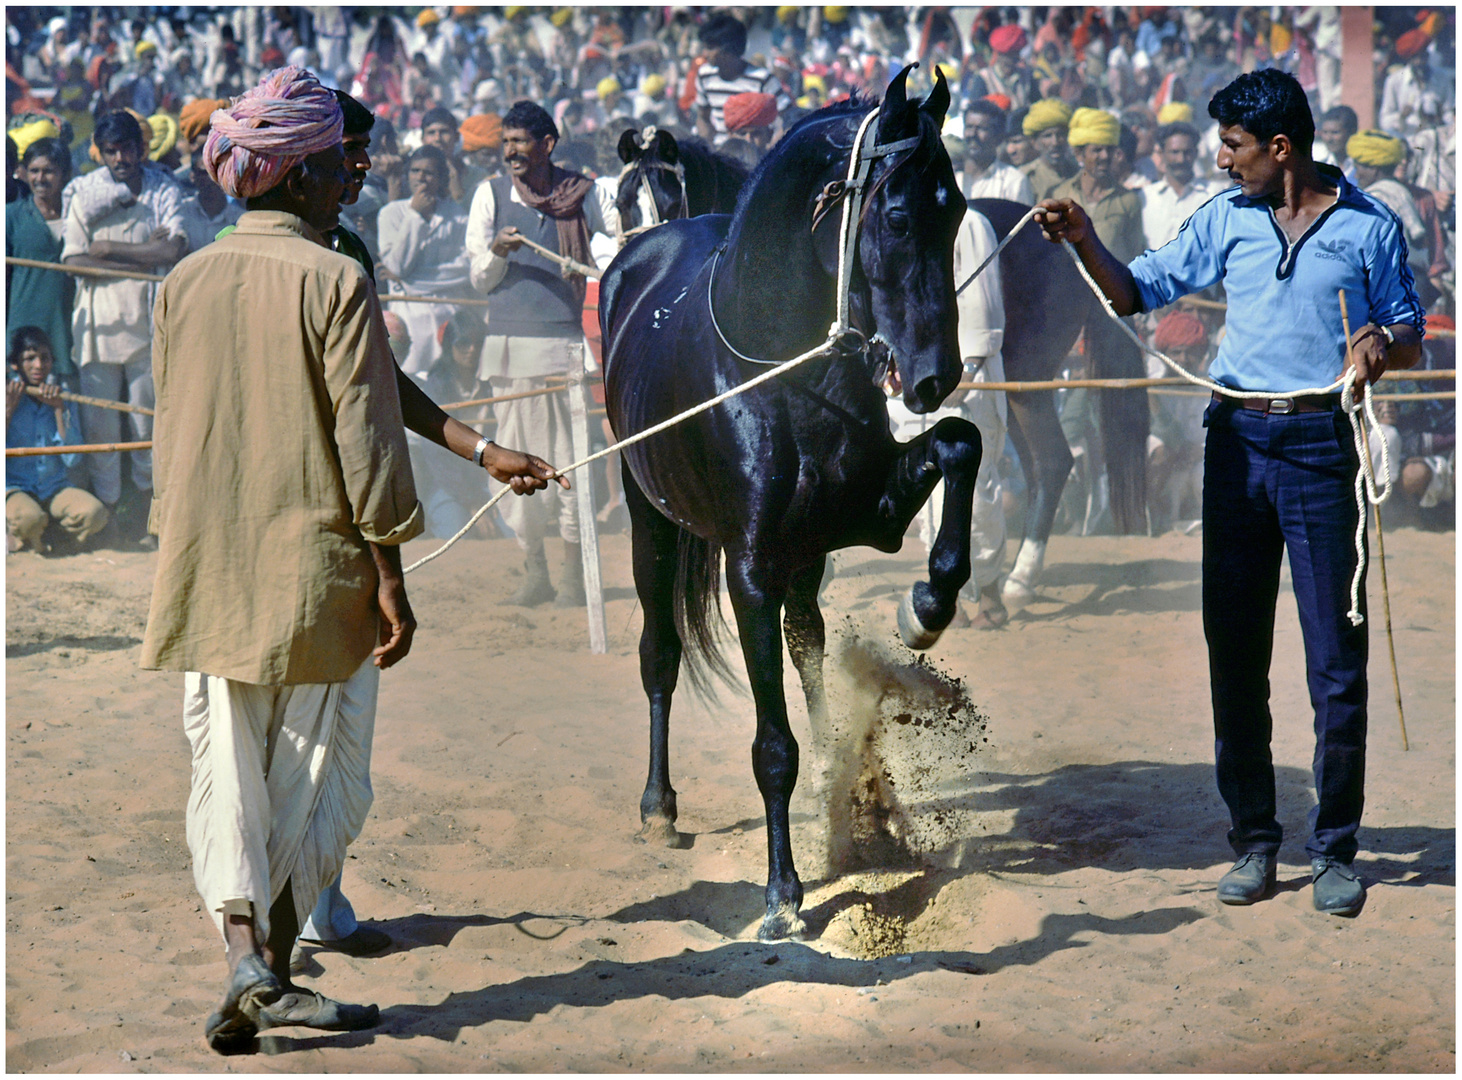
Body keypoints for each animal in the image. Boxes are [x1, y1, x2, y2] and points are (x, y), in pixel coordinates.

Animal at [599, 69, 976, 947]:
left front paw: (926, 608)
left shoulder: (868, 516)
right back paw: (659, 808)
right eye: (898, 215)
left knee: (808, 644)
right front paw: (781, 895)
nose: (935, 375)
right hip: (649, 520)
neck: (779, 370)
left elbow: (960, 445)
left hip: (808, 557)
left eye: (958, 213)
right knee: (660, 652)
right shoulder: (751, 572)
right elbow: (771, 742)